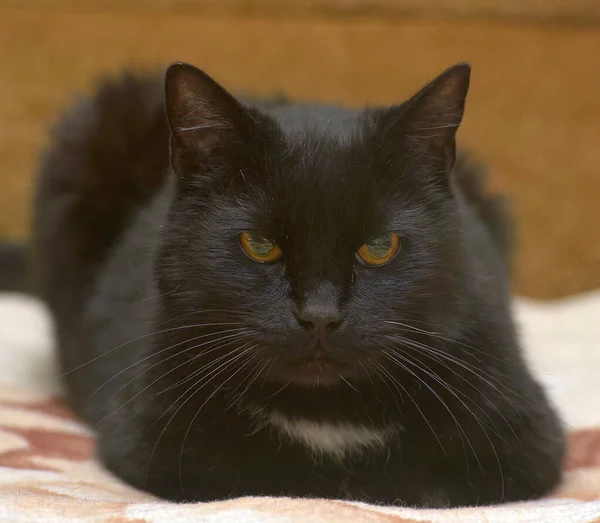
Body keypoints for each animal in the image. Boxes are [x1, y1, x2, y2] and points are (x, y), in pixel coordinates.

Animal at [21, 61, 564, 508]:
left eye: (380, 245)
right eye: (260, 244)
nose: (320, 316)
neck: (323, 413)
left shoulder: (523, 440)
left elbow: (414, 482)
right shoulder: (152, 437)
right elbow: (263, 472)